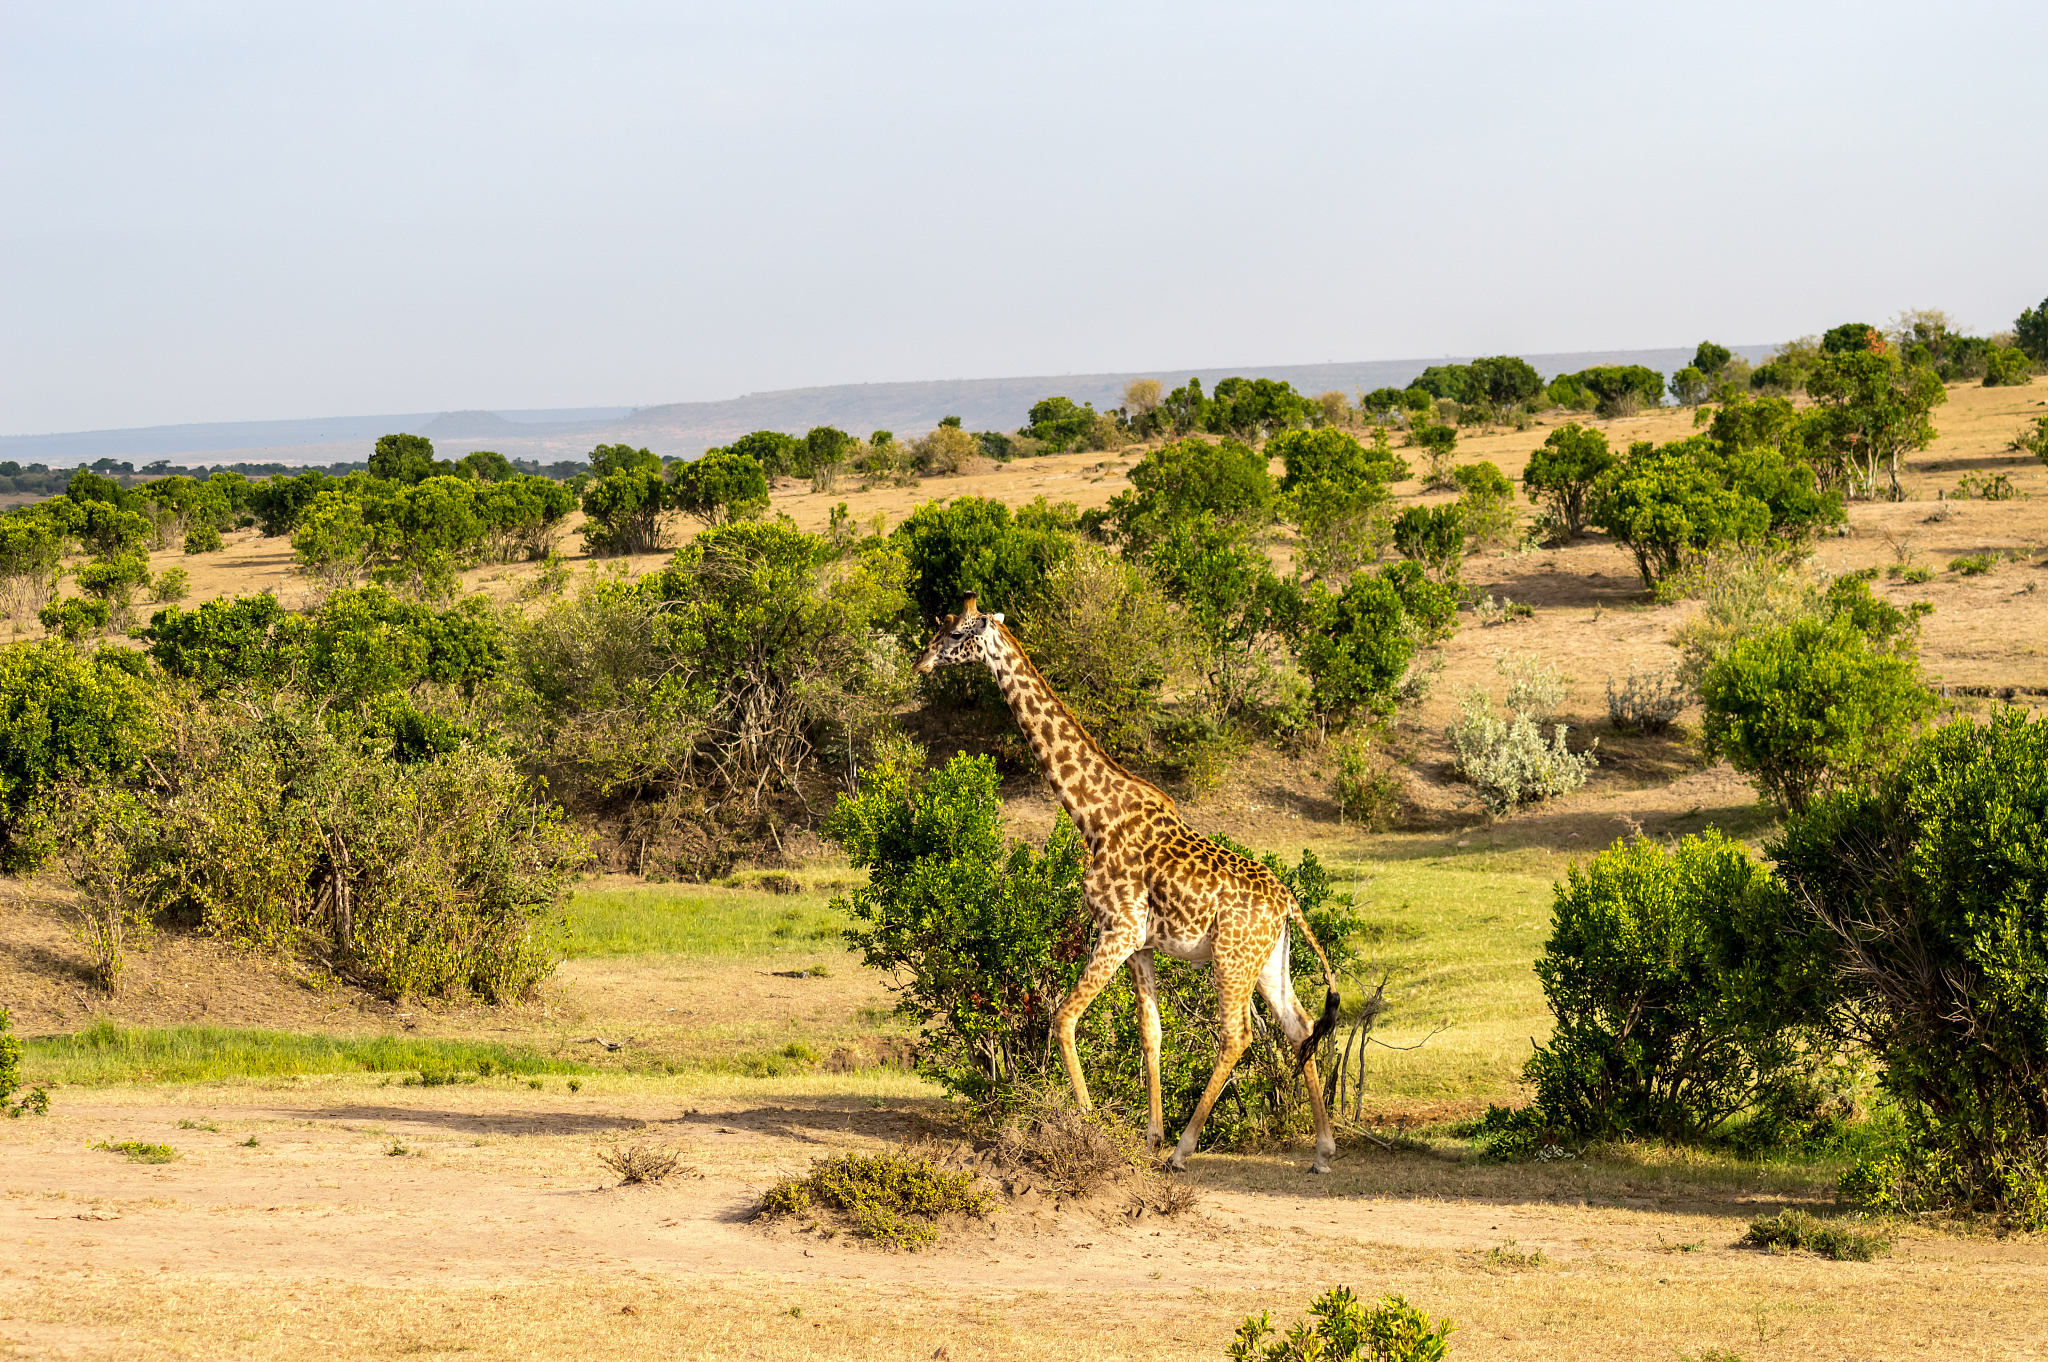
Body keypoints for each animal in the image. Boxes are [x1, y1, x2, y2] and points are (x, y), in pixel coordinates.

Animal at [914, 592, 1342, 1173]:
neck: (1092, 815)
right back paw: (1321, 1149)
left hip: (1231, 958)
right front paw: (1149, 1136)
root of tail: (1290, 903)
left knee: (1236, 1036)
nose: (921, 663)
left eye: (957, 633)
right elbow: (1151, 1032)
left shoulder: (1116, 929)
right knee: (1298, 1027)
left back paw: (1186, 1150)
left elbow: (1063, 1017)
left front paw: (1089, 1123)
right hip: (1269, 960)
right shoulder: (1140, 943)